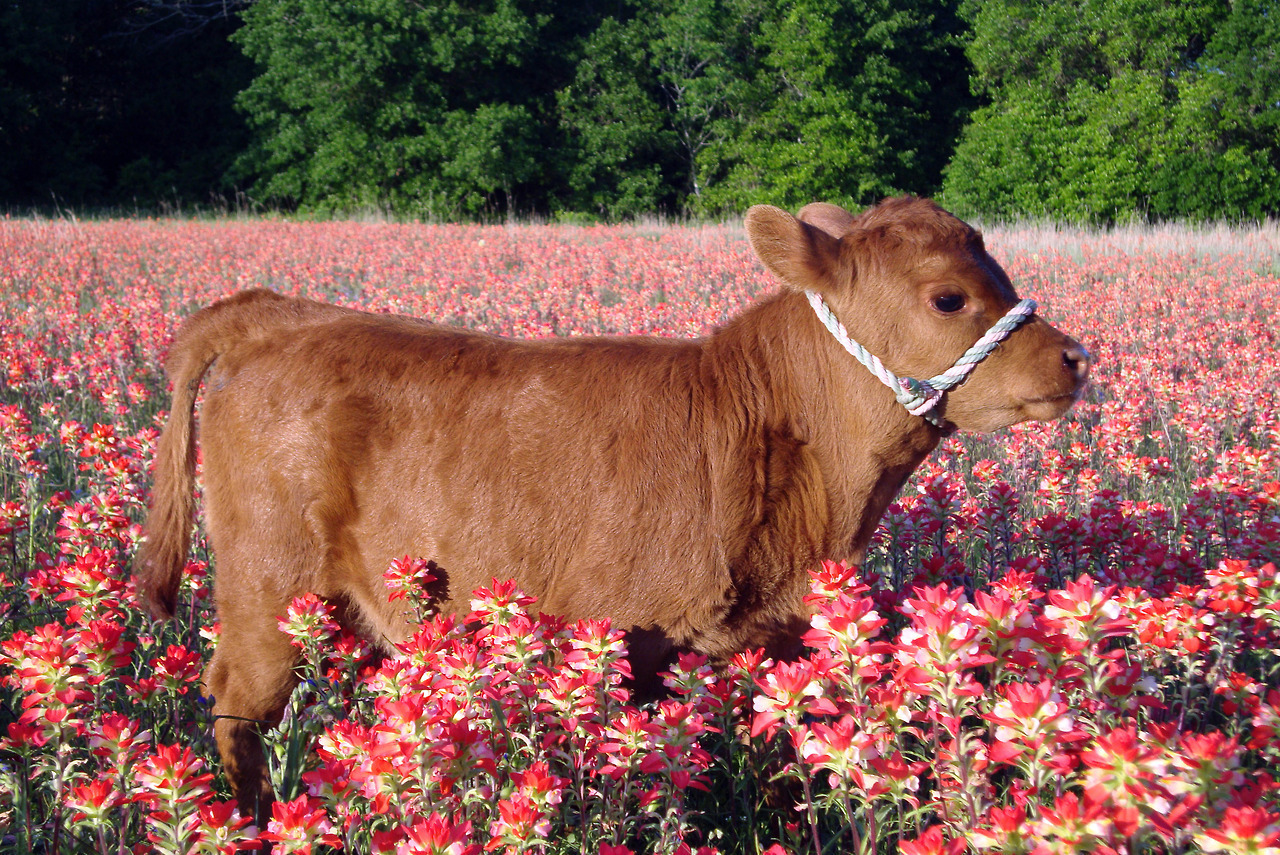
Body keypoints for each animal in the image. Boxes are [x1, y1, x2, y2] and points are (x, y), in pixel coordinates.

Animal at [132, 195, 1090, 819]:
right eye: (948, 296)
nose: (1073, 358)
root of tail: (276, 317)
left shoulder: (772, 638)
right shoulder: (632, 632)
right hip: (266, 594)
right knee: (235, 706)